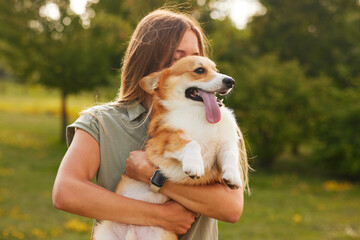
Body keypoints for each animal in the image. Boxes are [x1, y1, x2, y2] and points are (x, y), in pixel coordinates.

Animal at [93, 55, 248, 240]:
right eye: (200, 70)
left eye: (216, 70)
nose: (230, 81)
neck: (199, 113)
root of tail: (132, 232)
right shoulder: (164, 141)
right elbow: (192, 143)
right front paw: (195, 165)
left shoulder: (224, 144)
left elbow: (230, 153)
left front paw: (233, 176)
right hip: (103, 233)